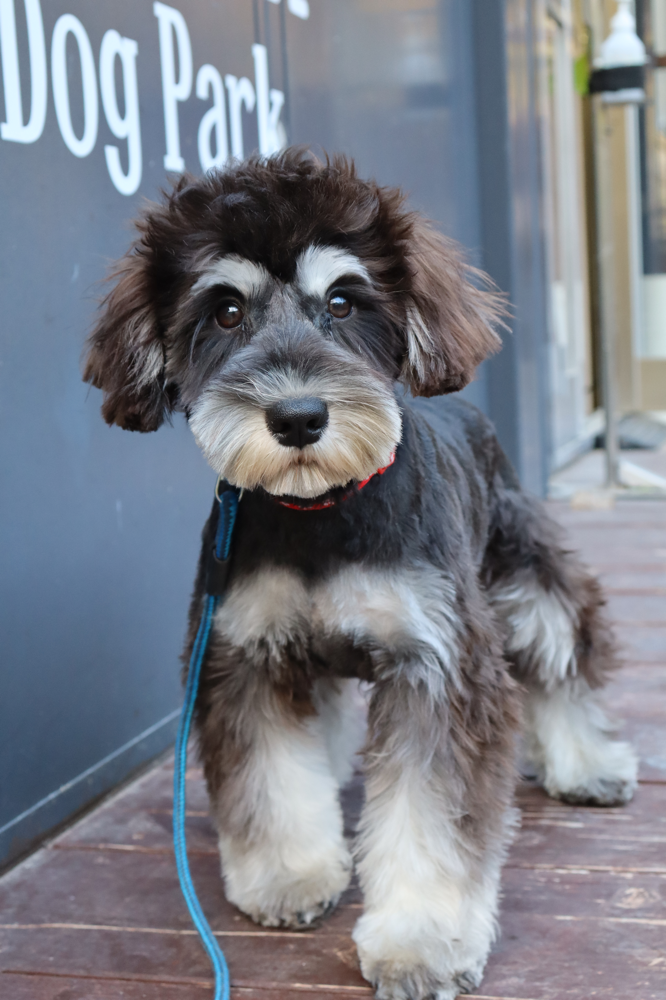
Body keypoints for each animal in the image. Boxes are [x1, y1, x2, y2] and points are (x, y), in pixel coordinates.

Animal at [84, 149, 637, 1000]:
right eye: (225, 312)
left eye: (343, 302)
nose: (298, 417)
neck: (322, 511)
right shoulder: (244, 655)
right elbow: (273, 773)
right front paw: (288, 875)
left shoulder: (438, 665)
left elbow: (429, 818)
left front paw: (420, 941)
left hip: (528, 577)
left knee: (558, 666)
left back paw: (587, 762)